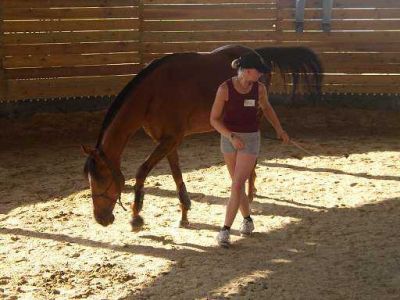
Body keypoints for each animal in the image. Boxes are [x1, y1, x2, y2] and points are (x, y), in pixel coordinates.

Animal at [81, 43, 322, 229]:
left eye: (102, 180)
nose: (101, 219)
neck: (153, 93)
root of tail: (258, 55)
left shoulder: (170, 140)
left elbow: (141, 171)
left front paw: (136, 217)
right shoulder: (168, 141)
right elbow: (176, 175)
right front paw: (184, 214)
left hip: (256, 114)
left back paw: (250, 191)